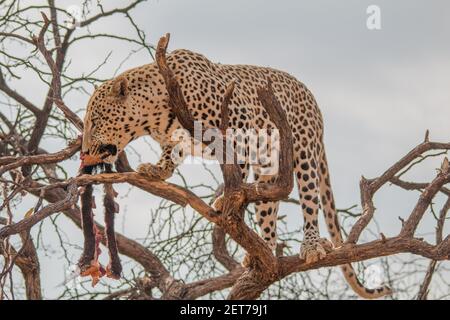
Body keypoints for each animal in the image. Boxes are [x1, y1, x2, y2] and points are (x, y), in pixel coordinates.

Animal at [81, 46, 390, 298]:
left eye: (95, 120)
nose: (83, 151)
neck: (155, 117)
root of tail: (311, 97)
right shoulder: (179, 139)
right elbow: (173, 152)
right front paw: (157, 169)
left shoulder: (239, 125)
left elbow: (235, 169)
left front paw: (228, 197)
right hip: (268, 168)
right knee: (268, 209)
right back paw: (261, 253)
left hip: (303, 151)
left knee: (310, 199)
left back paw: (312, 244)